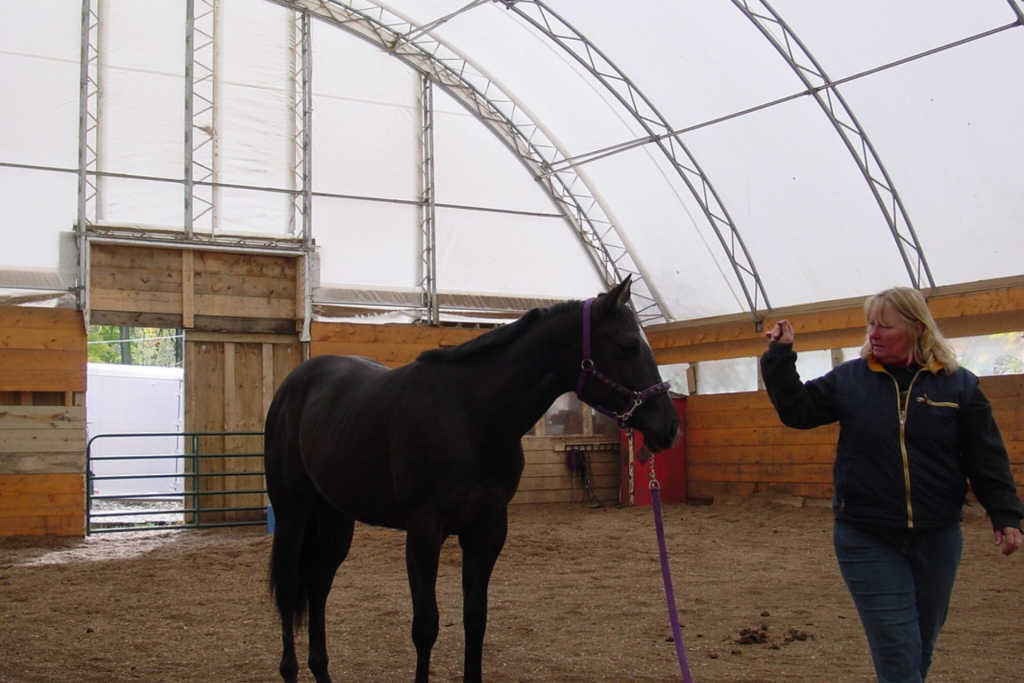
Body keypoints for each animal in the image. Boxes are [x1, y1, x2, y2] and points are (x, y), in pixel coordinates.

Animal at [266, 278, 679, 683]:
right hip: (292, 514)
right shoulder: (424, 531)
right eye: (628, 346)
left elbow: (475, 618)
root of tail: (295, 383)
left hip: (336, 515)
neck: (471, 415)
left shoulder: (487, 529)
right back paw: (289, 670)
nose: (670, 427)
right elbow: (425, 626)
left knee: (318, 584)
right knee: (288, 589)